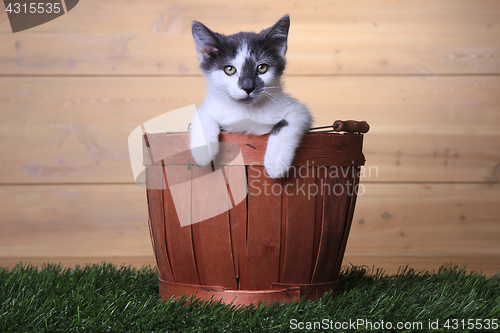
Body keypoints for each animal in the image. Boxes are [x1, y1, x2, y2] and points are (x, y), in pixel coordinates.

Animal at [190, 14, 312, 179]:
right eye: (229, 69)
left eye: (262, 68)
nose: (248, 87)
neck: (246, 111)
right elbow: (202, 111)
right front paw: (203, 151)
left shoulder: (299, 111)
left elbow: (288, 122)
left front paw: (276, 160)